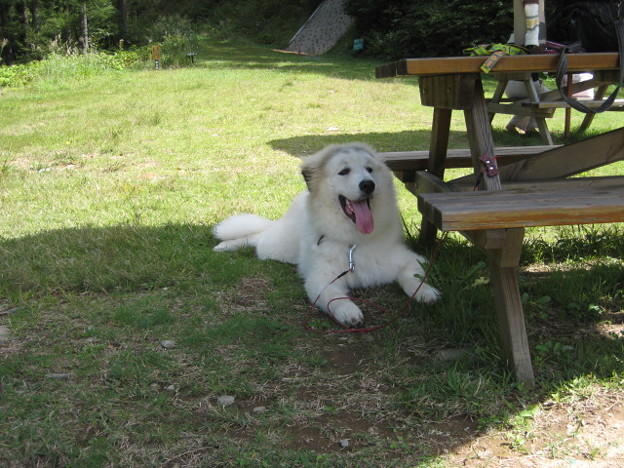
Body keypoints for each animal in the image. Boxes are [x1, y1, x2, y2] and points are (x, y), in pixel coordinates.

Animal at [213, 143, 438, 326]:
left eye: (369, 170)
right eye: (344, 171)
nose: (368, 184)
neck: (353, 243)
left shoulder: (412, 259)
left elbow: (412, 278)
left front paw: (426, 293)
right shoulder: (321, 280)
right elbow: (334, 298)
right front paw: (349, 312)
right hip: (278, 247)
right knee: (259, 237)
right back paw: (225, 245)